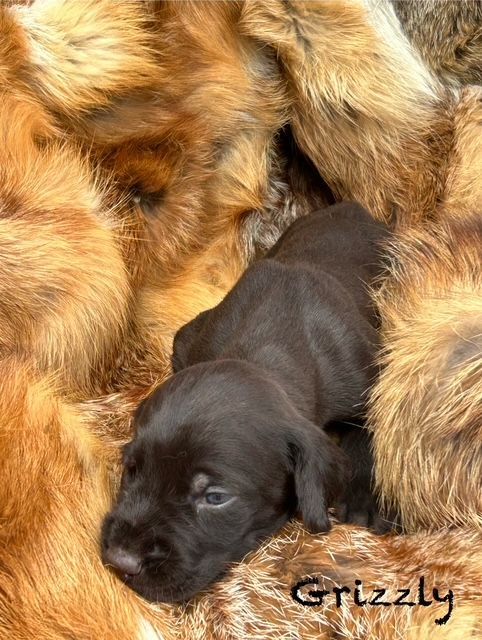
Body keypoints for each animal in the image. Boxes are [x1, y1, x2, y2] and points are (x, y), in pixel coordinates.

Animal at [101, 201, 390, 603]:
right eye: (131, 468)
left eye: (215, 497)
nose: (120, 561)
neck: (266, 343)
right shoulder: (189, 340)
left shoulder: (368, 371)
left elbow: (369, 423)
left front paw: (365, 497)